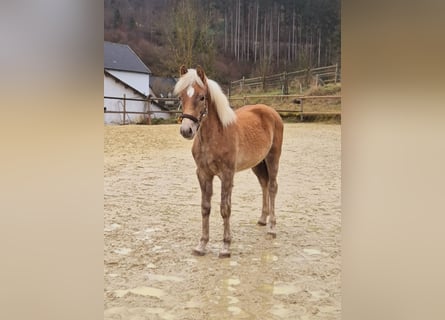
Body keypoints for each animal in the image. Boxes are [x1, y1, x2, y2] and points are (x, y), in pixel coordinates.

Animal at [173, 65, 280, 258]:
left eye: (202, 97)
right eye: (181, 97)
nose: (186, 130)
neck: (215, 135)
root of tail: (271, 111)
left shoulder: (227, 175)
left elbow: (225, 208)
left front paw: (225, 247)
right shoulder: (203, 174)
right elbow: (205, 207)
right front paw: (202, 245)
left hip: (272, 158)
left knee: (273, 187)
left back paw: (272, 228)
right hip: (257, 164)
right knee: (264, 184)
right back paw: (262, 219)